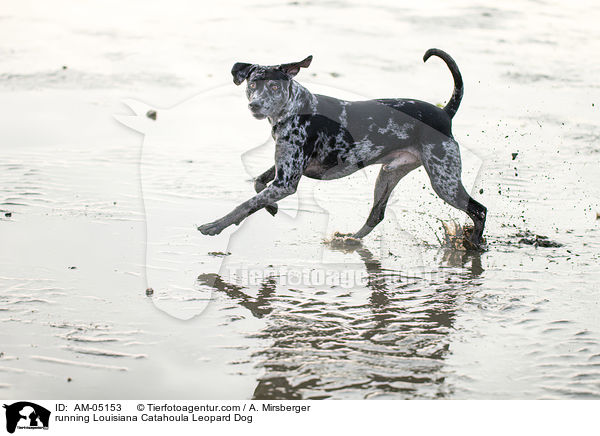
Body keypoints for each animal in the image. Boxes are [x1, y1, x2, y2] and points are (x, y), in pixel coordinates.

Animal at [198, 48, 488, 250]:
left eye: (274, 86)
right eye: (252, 84)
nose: (255, 105)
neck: (297, 108)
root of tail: (445, 113)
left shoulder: (287, 182)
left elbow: (244, 205)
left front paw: (215, 225)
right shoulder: (285, 171)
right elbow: (258, 184)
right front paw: (271, 207)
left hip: (444, 181)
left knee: (479, 210)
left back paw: (473, 242)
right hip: (388, 174)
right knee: (376, 215)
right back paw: (350, 239)